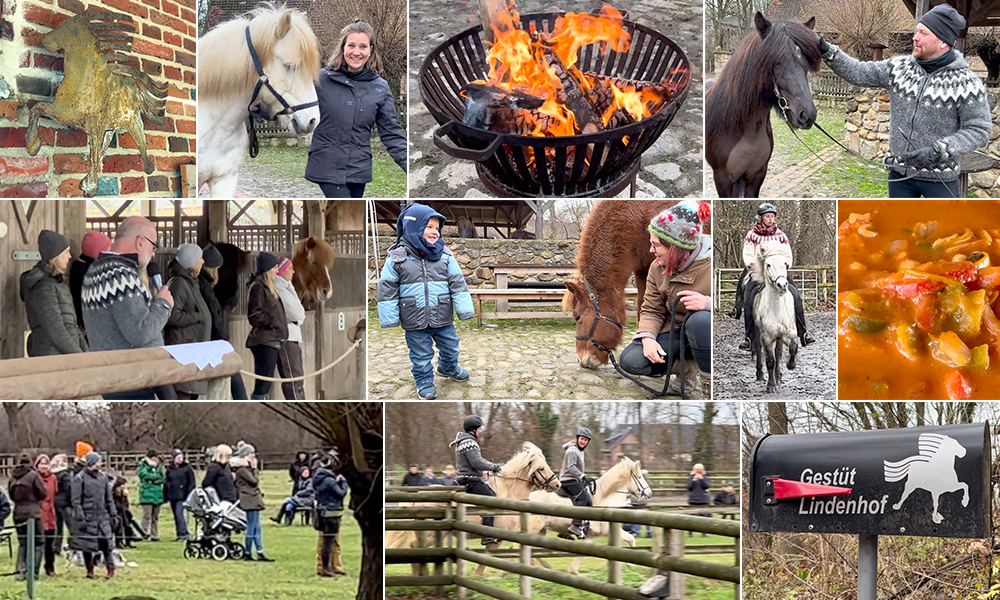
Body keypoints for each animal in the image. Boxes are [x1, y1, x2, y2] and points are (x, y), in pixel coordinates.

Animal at [752, 239, 800, 394]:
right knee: (760, 350)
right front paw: (771, 386)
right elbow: (770, 361)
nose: (782, 285)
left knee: (778, 354)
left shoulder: (789, 332)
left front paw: (791, 365)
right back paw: (761, 374)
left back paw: (779, 377)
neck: (776, 310)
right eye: (768, 264)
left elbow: (793, 347)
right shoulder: (767, 337)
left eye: (784, 264)